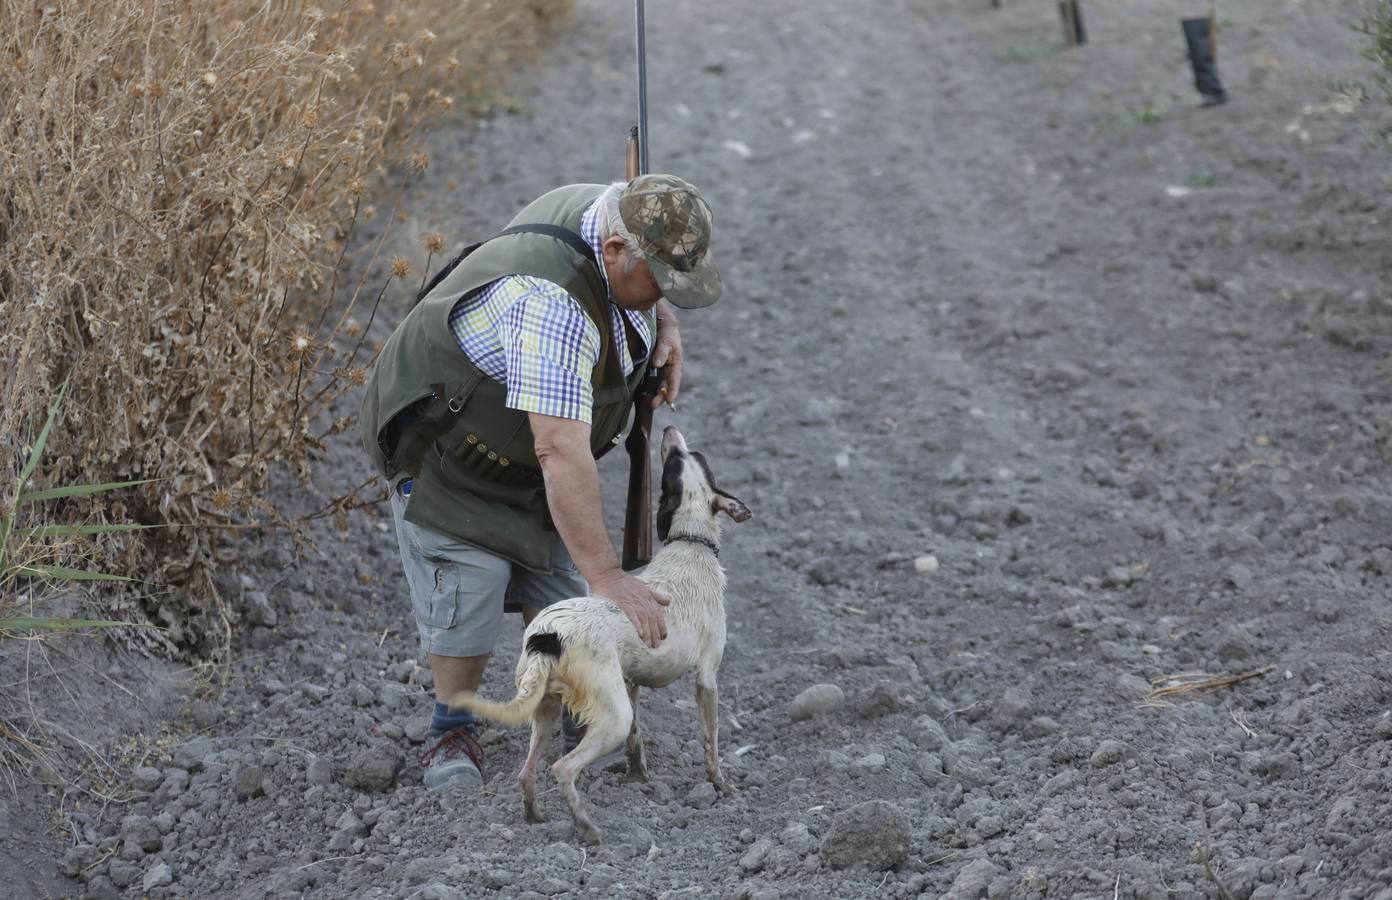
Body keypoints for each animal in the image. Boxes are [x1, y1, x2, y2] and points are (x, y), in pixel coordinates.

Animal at [448, 425, 751, 840]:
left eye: (687, 458)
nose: (669, 429)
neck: (690, 541)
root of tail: (547, 635)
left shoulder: (632, 681)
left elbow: (637, 743)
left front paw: (639, 780)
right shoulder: (707, 677)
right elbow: (712, 742)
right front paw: (720, 785)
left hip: (545, 706)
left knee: (526, 772)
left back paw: (535, 817)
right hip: (610, 716)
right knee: (562, 768)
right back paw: (587, 828)